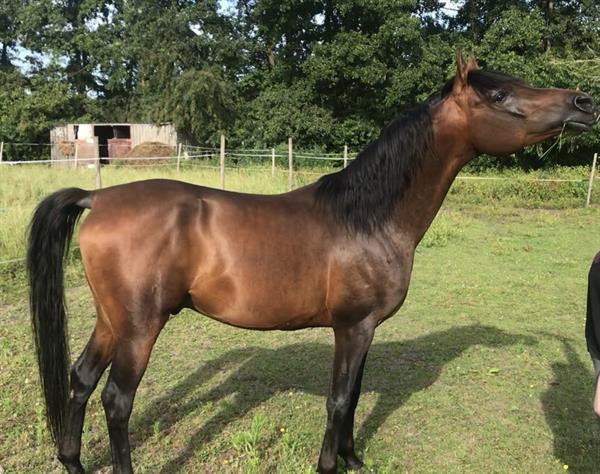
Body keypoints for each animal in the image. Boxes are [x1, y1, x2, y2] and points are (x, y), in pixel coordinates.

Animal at [27, 52, 596, 474]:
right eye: (498, 95)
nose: (583, 102)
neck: (368, 217)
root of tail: (98, 199)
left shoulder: (365, 328)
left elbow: (355, 396)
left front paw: (353, 459)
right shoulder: (353, 325)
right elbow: (339, 400)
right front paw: (329, 464)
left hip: (112, 321)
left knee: (81, 380)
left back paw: (73, 461)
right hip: (141, 327)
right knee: (117, 400)